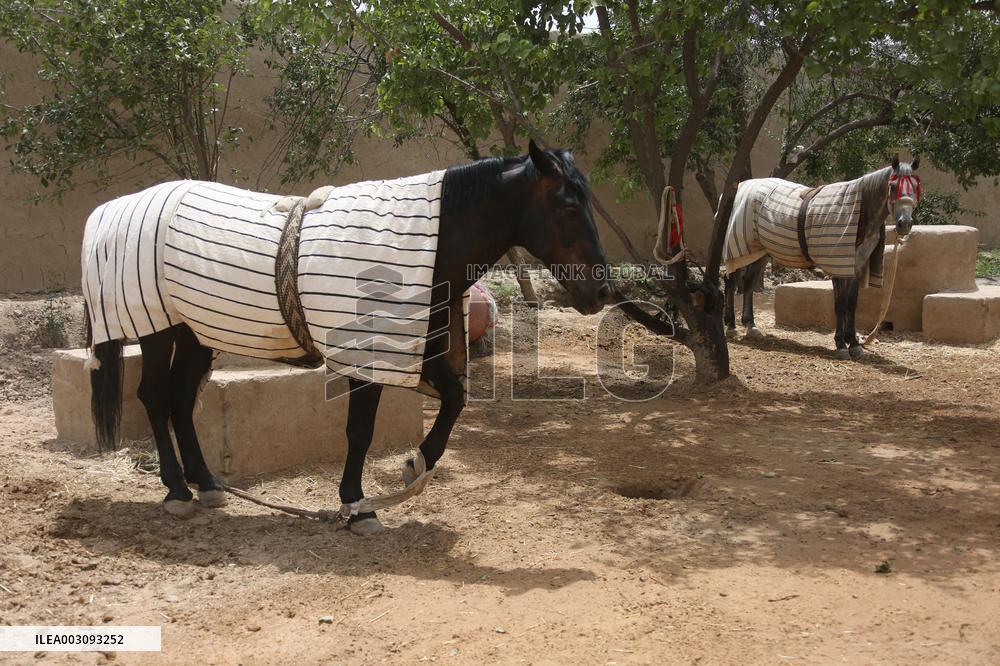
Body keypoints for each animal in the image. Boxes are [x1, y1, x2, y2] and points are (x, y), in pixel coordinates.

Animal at [83, 140, 612, 535]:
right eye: (568, 207)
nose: (602, 291)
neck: (428, 248)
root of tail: (106, 212)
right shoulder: (368, 357)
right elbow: (360, 432)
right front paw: (358, 506)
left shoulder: (414, 350)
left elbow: (455, 398)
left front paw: (416, 465)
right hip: (158, 330)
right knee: (155, 396)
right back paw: (176, 490)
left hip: (197, 332)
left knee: (178, 397)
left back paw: (207, 483)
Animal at [721, 156, 920, 359]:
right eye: (893, 186)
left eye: (916, 186)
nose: (905, 224)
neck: (860, 213)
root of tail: (741, 187)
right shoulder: (838, 266)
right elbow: (840, 304)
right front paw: (841, 344)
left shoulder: (857, 266)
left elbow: (851, 304)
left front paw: (854, 343)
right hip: (739, 249)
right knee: (731, 282)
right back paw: (731, 326)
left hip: (759, 252)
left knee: (747, 284)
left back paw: (751, 325)